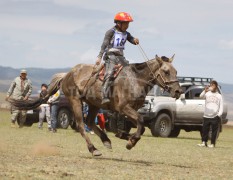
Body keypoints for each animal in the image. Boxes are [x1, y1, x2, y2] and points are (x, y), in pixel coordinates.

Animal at [8, 54, 182, 156]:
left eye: (176, 72)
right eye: (166, 72)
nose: (178, 91)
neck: (135, 79)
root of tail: (67, 74)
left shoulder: (129, 110)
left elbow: (136, 125)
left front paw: (125, 136)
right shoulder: (125, 108)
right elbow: (140, 122)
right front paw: (130, 142)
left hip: (93, 104)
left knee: (90, 122)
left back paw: (106, 140)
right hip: (76, 101)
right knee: (80, 124)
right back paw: (94, 149)